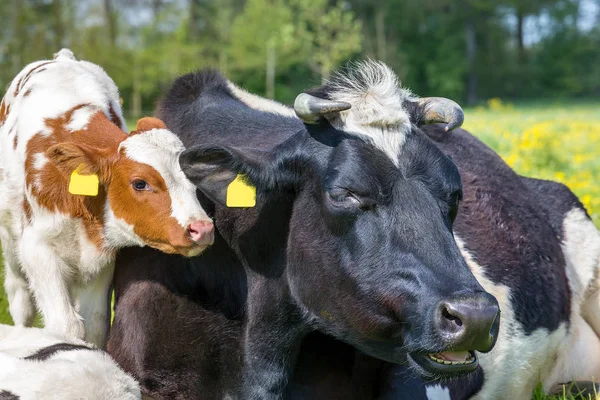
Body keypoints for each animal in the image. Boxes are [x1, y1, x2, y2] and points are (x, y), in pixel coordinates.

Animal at [0, 47, 214, 346]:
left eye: (192, 179)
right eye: (140, 183)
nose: (201, 228)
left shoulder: (103, 258)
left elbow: (95, 324)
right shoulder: (37, 250)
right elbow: (65, 325)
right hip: (10, 241)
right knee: (20, 297)